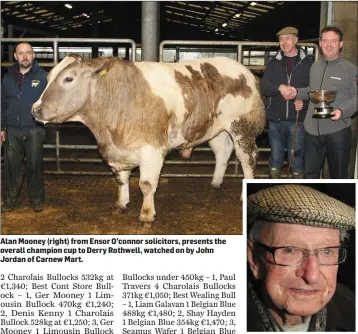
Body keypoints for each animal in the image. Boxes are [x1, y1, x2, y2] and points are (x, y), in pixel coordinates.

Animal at [32, 55, 264, 222]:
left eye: (68, 78)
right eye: (48, 77)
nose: (35, 109)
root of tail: (247, 73)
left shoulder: (152, 149)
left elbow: (146, 183)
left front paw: (146, 214)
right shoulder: (117, 151)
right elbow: (121, 179)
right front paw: (121, 203)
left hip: (242, 127)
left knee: (247, 159)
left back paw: (242, 193)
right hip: (216, 129)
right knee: (223, 151)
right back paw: (215, 182)